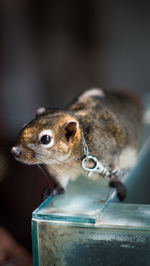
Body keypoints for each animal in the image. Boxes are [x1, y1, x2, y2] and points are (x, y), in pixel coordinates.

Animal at [11, 88, 142, 201]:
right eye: (25, 125)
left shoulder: (108, 150)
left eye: (46, 139)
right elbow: (61, 183)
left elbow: (114, 168)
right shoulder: (57, 170)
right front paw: (55, 190)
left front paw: (117, 183)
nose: (14, 151)